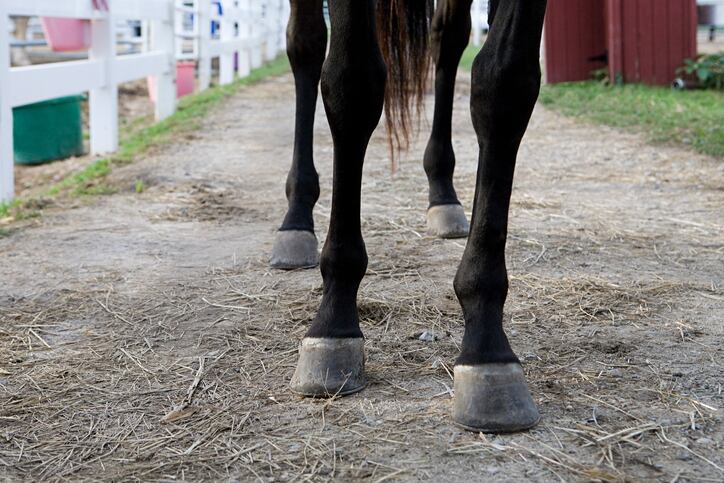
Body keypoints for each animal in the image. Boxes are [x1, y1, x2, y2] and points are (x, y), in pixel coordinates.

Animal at [272, 0, 547, 433]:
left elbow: (504, 82)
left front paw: (486, 343)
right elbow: (351, 78)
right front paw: (333, 321)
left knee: (448, 38)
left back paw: (443, 193)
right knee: (306, 44)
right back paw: (297, 217)